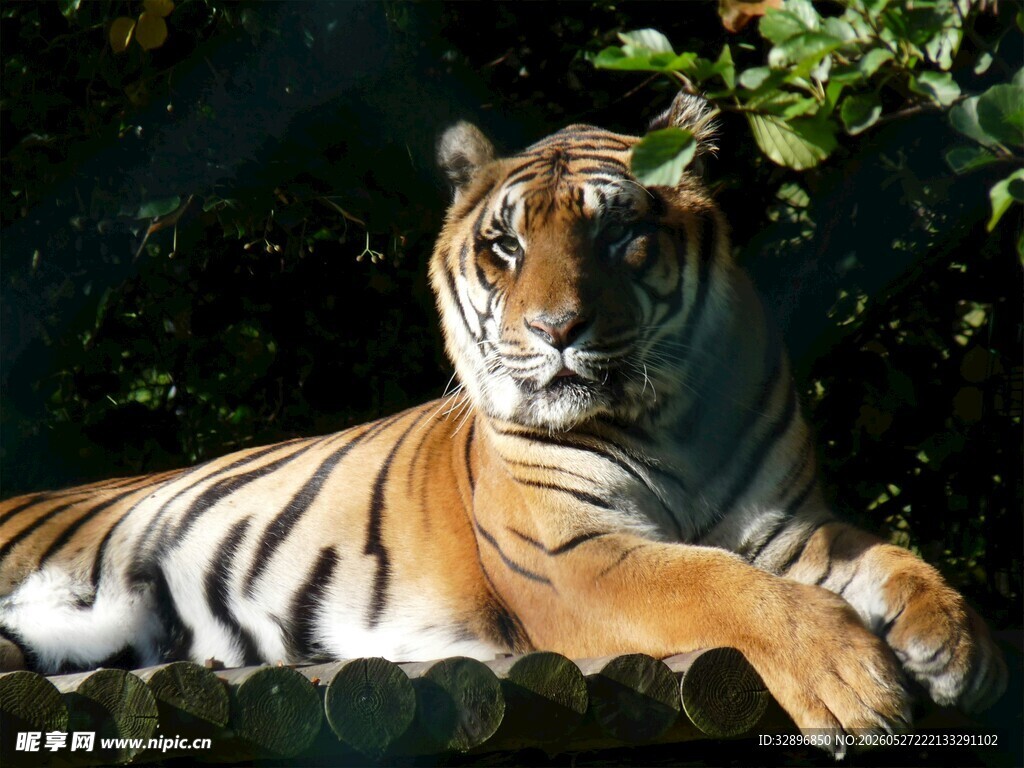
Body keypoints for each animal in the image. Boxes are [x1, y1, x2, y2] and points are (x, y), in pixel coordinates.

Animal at [0, 92, 1006, 752]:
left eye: (619, 235)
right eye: (505, 246)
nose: (556, 330)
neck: (672, 418)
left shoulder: (789, 526)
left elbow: (889, 557)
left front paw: (958, 642)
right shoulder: (576, 556)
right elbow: (720, 583)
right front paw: (852, 683)